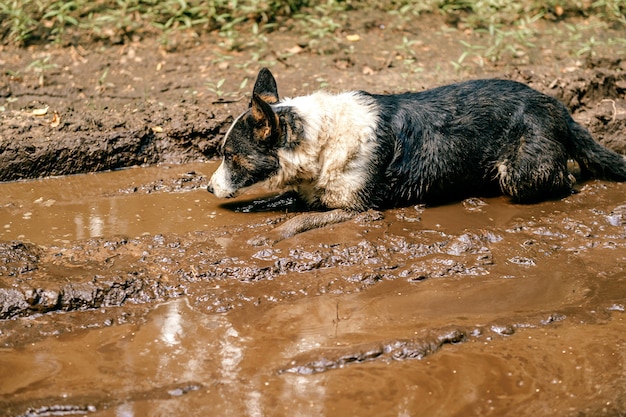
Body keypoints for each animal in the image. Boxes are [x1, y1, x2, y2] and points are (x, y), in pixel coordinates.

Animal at [207, 67, 624, 240]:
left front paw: (267, 237)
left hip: (519, 176)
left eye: (231, 157)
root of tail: (559, 107)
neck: (316, 139)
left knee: (564, 179)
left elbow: (296, 221)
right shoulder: (306, 190)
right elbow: (281, 201)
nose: (209, 190)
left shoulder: (357, 208)